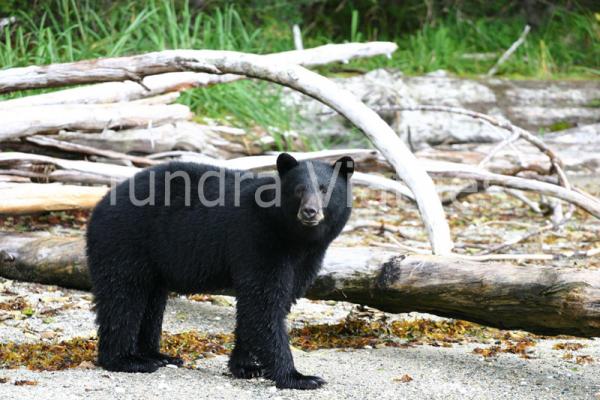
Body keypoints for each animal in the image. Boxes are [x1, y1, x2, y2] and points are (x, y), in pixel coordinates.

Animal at [86, 152, 354, 388]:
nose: (309, 211)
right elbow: (264, 302)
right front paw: (298, 377)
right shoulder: (258, 239)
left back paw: (157, 355)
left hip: (151, 261)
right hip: (125, 242)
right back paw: (127, 360)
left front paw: (246, 366)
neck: (294, 236)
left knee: (152, 301)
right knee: (123, 298)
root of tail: (100, 204)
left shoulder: (307, 257)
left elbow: (276, 300)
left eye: (325, 189)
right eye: (299, 189)